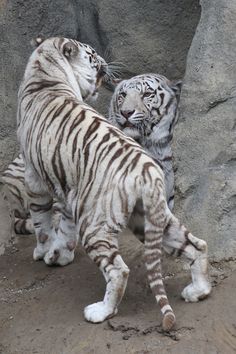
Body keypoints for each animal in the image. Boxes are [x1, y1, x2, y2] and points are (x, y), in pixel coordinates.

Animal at [15, 36, 211, 332]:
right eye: (93, 54)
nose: (107, 64)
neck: (44, 72)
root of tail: (146, 169)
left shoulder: (34, 177)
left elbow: (41, 222)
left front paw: (42, 251)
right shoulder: (68, 184)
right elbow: (63, 225)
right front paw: (60, 254)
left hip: (95, 224)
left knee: (119, 270)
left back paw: (100, 311)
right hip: (151, 218)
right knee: (196, 245)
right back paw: (198, 291)